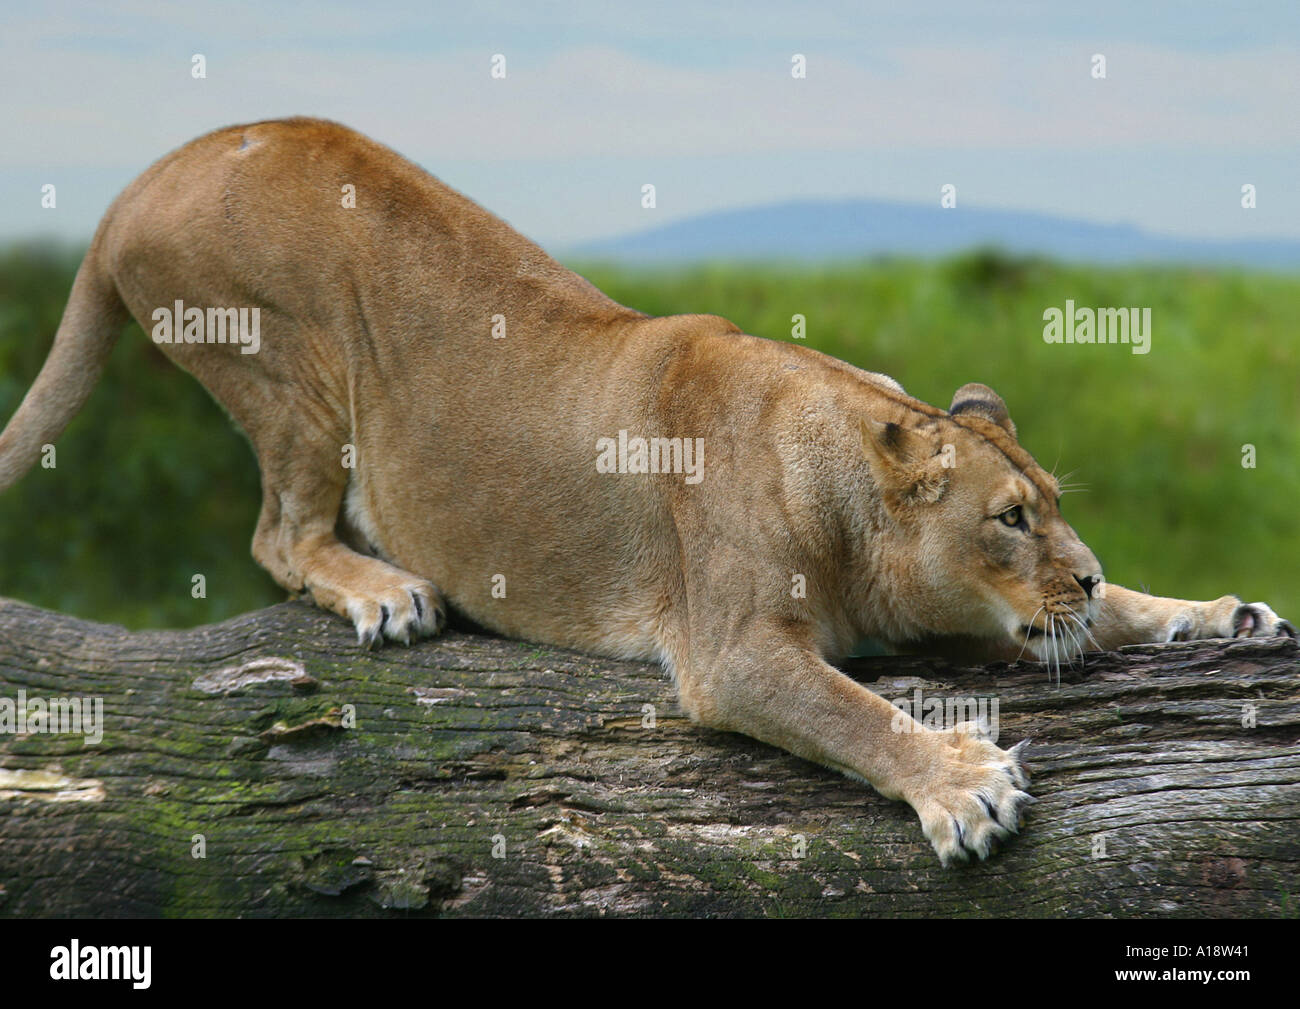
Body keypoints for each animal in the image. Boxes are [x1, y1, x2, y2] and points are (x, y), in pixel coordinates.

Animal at [0, 118, 1291, 865]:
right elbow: (853, 712)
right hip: (290, 365)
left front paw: (1217, 613)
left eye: (1053, 505)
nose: (1078, 567)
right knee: (278, 534)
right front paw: (964, 787)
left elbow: (1108, 616)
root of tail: (133, 186)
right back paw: (385, 592)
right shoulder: (731, 651)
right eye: (1009, 520)